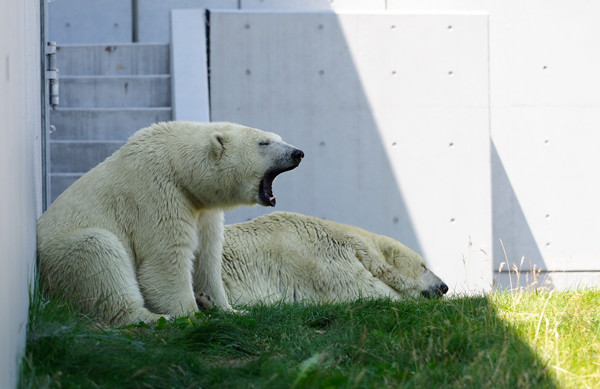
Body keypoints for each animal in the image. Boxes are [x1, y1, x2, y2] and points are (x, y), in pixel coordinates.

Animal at [36, 120, 304, 324]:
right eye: (264, 143)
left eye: (278, 137)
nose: (297, 153)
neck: (179, 165)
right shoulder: (156, 192)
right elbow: (165, 259)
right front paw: (190, 314)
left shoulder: (203, 208)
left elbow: (207, 257)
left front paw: (230, 308)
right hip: (63, 255)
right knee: (100, 257)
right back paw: (155, 318)